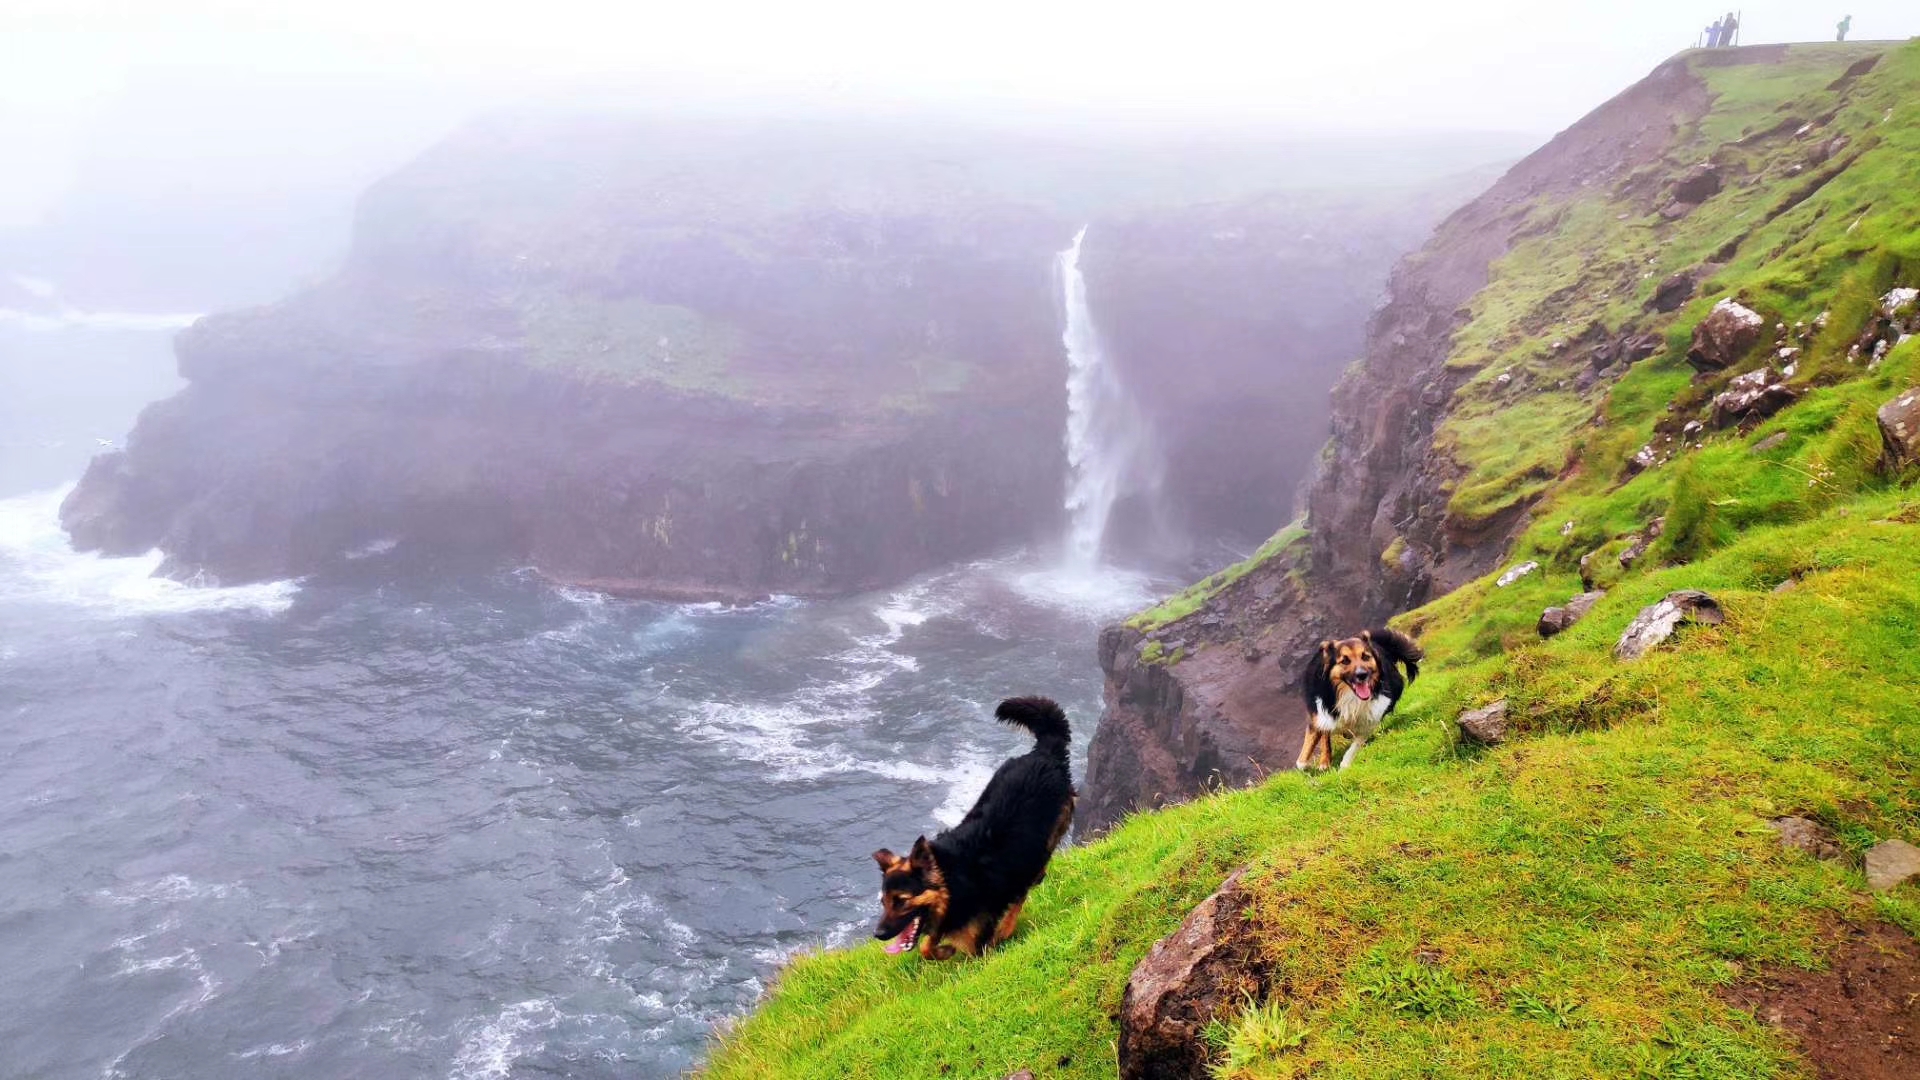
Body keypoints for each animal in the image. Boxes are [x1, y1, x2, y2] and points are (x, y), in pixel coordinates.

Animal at [875, 699, 1075, 957]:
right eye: (884, 902)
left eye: (901, 900)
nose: (877, 934)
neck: (951, 881)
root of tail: (1044, 752)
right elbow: (927, 947)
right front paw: (943, 950)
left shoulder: (975, 939)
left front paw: (947, 950)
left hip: (1042, 844)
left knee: (1029, 882)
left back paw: (1006, 928)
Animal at [1297, 626, 1420, 768]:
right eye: (1345, 660)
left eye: (1365, 657)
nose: (1362, 675)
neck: (1350, 697)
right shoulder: (1320, 713)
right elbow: (1303, 759)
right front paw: (1318, 763)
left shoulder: (1371, 719)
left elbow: (1356, 744)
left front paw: (1344, 765)